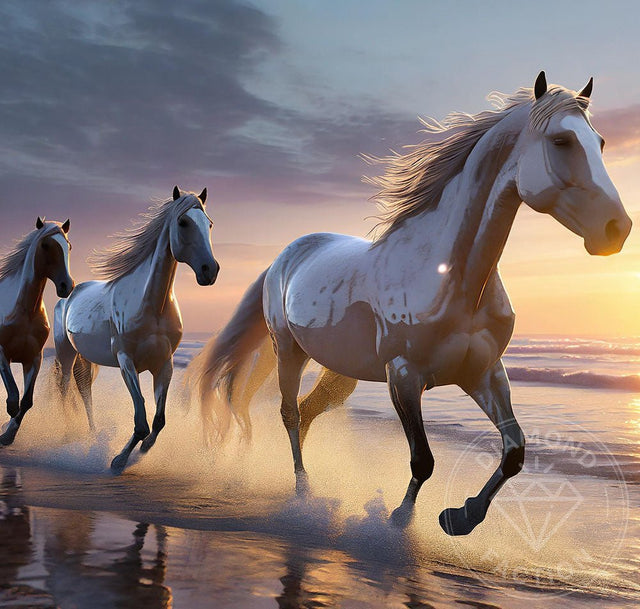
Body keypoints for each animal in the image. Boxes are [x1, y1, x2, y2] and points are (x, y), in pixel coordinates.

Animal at [0, 218, 74, 446]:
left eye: (68, 246)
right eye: (46, 245)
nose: (67, 286)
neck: (26, 312)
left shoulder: (33, 359)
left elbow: (26, 402)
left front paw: (8, 435)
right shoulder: (2, 354)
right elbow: (13, 397)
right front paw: (7, 426)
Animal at [54, 187, 219, 473]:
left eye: (208, 224)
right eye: (183, 222)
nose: (210, 270)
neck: (151, 304)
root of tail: (70, 291)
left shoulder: (164, 364)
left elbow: (159, 421)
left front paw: (142, 450)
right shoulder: (126, 362)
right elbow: (141, 420)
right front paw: (119, 460)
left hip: (84, 358)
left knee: (84, 390)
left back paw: (91, 434)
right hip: (66, 353)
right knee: (65, 389)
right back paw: (68, 434)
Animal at [189, 72, 632, 535]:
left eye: (600, 142)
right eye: (562, 140)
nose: (616, 228)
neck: (453, 278)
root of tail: (286, 255)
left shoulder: (484, 372)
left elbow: (514, 451)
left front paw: (461, 516)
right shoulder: (403, 375)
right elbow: (424, 460)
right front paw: (399, 521)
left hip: (340, 372)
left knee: (307, 413)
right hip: (288, 350)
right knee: (290, 413)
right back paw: (303, 494)